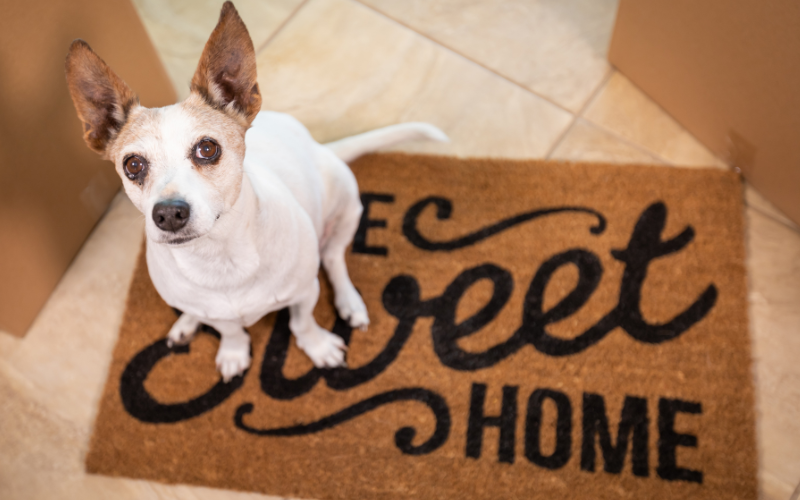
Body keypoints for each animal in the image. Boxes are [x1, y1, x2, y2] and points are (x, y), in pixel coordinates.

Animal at [65, 1, 446, 380]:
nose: (169, 213)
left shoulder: (305, 292)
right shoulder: (220, 313)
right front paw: (233, 352)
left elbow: (301, 323)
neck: (219, 258)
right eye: (133, 165)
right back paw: (187, 322)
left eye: (207, 148)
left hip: (347, 208)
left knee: (334, 258)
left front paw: (318, 348)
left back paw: (349, 302)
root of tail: (321, 147)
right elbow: (230, 329)